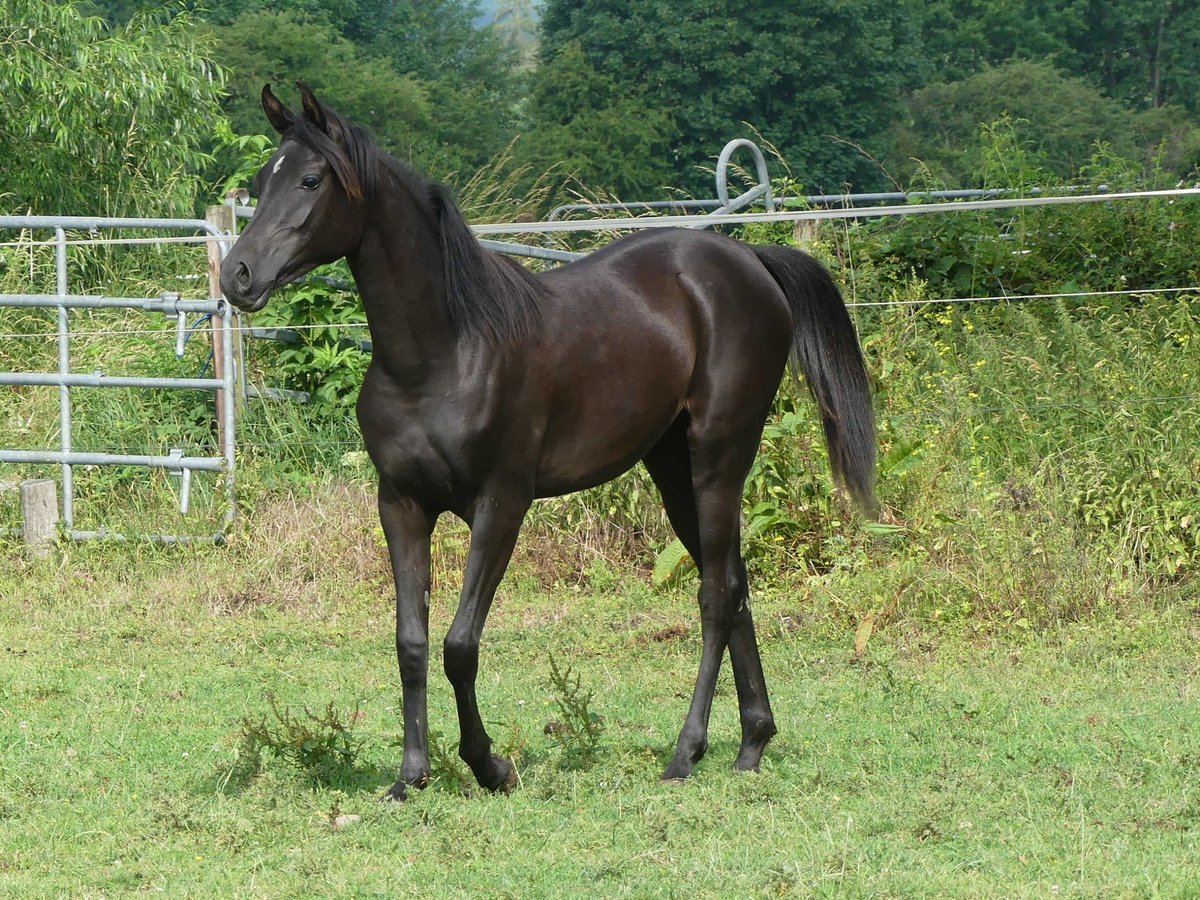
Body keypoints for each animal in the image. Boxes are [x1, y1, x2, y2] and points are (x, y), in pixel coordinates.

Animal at [220, 86, 878, 801]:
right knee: (731, 582)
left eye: (311, 180)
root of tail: (750, 261)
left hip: (719, 457)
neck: (443, 353)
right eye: (263, 180)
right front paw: (410, 777)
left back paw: (686, 753)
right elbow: (411, 642)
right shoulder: (401, 505)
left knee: (713, 596)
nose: (237, 275)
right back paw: (752, 743)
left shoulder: (501, 505)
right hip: (673, 467)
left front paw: (490, 766)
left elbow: (459, 644)